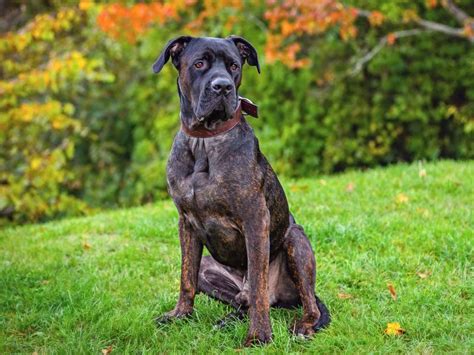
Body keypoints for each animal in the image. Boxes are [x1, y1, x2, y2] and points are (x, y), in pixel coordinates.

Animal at [153, 34, 330, 346]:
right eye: (199, 64)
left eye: (234, 66)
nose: (222, 86)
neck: (205, 141)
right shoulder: (186, 223)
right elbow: (186, 278)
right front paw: (180, 316)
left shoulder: (255, 219)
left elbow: (258, 284)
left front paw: (259, 336)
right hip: (209, 269)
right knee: (241, 300)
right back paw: (227, 320)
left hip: (296, 242)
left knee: (301, 302)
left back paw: (303, 326)